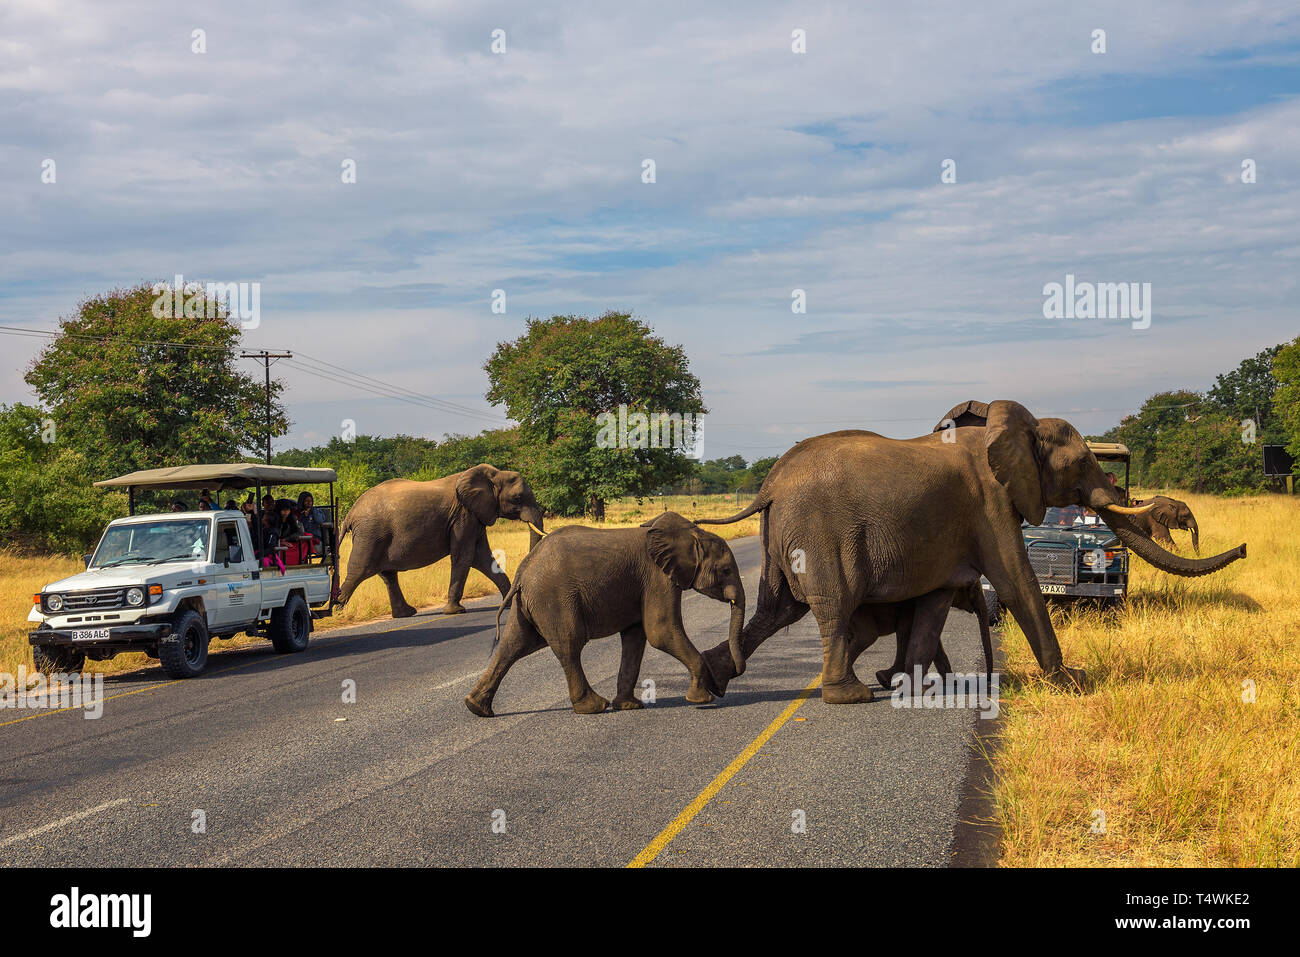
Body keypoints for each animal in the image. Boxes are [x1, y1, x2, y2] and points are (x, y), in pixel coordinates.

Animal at [335, 465, 543, 616]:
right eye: (517, 498)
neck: (494, 474)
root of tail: (350, 514)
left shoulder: (474, 516)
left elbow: (482, 558)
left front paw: (510, 605)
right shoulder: (463, 516)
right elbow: (465, 557)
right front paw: (455, 611)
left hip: (376, 536)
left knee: (388, 575)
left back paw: (406, 614)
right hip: (370, 534)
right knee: (359, 571)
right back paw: (337, 613)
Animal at [465, 512, 754, 712]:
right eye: (726, 570)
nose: (721, 687)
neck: (692, 534)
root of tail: (523, 573)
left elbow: (636, 637)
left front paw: (629, 705)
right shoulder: (657, 577)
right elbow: (660, 631)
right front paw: (701, 699)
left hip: (530, 603)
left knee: (514, 645)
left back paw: (476, 707)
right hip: (554, 598)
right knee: (569, 645)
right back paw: (593, 707)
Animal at [696, 397, 1242, 702]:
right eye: (1083, 463)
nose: (1243, 549)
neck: (1017, 427)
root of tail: (770, 486)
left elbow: (937, 600)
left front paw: (905, 682)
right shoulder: (991, 503)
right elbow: (1018, 582)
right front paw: (1073, 682)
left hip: (780, 539)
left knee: (776, 609)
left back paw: (707, 684)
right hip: (820, 536)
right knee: (832, 605)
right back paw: (848, 696)